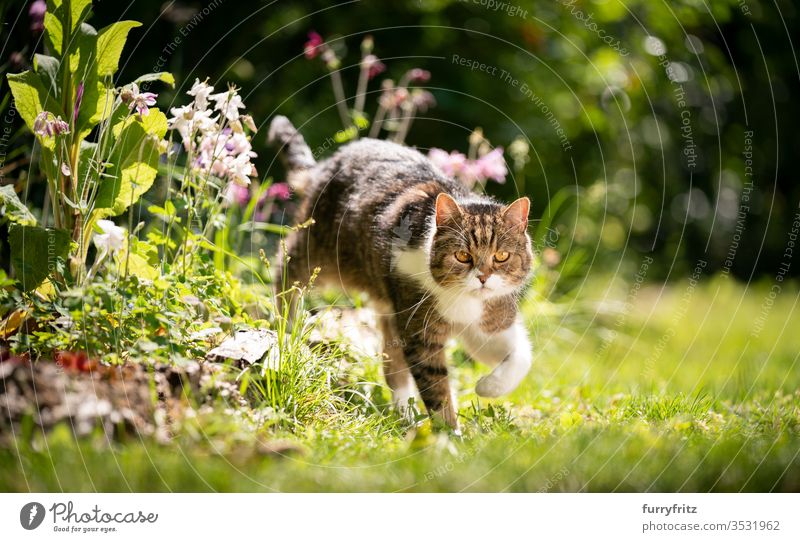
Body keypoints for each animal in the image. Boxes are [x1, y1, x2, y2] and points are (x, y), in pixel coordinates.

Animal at [266, 117, 536, 432]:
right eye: (463, 256)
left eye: (501, 256)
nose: (482, 278)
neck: (464, 301)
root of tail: (329, 162)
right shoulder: (420, 331)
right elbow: (436, 386)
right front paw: (450, 434)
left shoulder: (488, 323)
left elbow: (521, 356)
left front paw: (487, 387)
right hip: (320, 249)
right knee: (286, 269)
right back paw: (286, 323)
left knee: (393, 367)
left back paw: (403, 415)